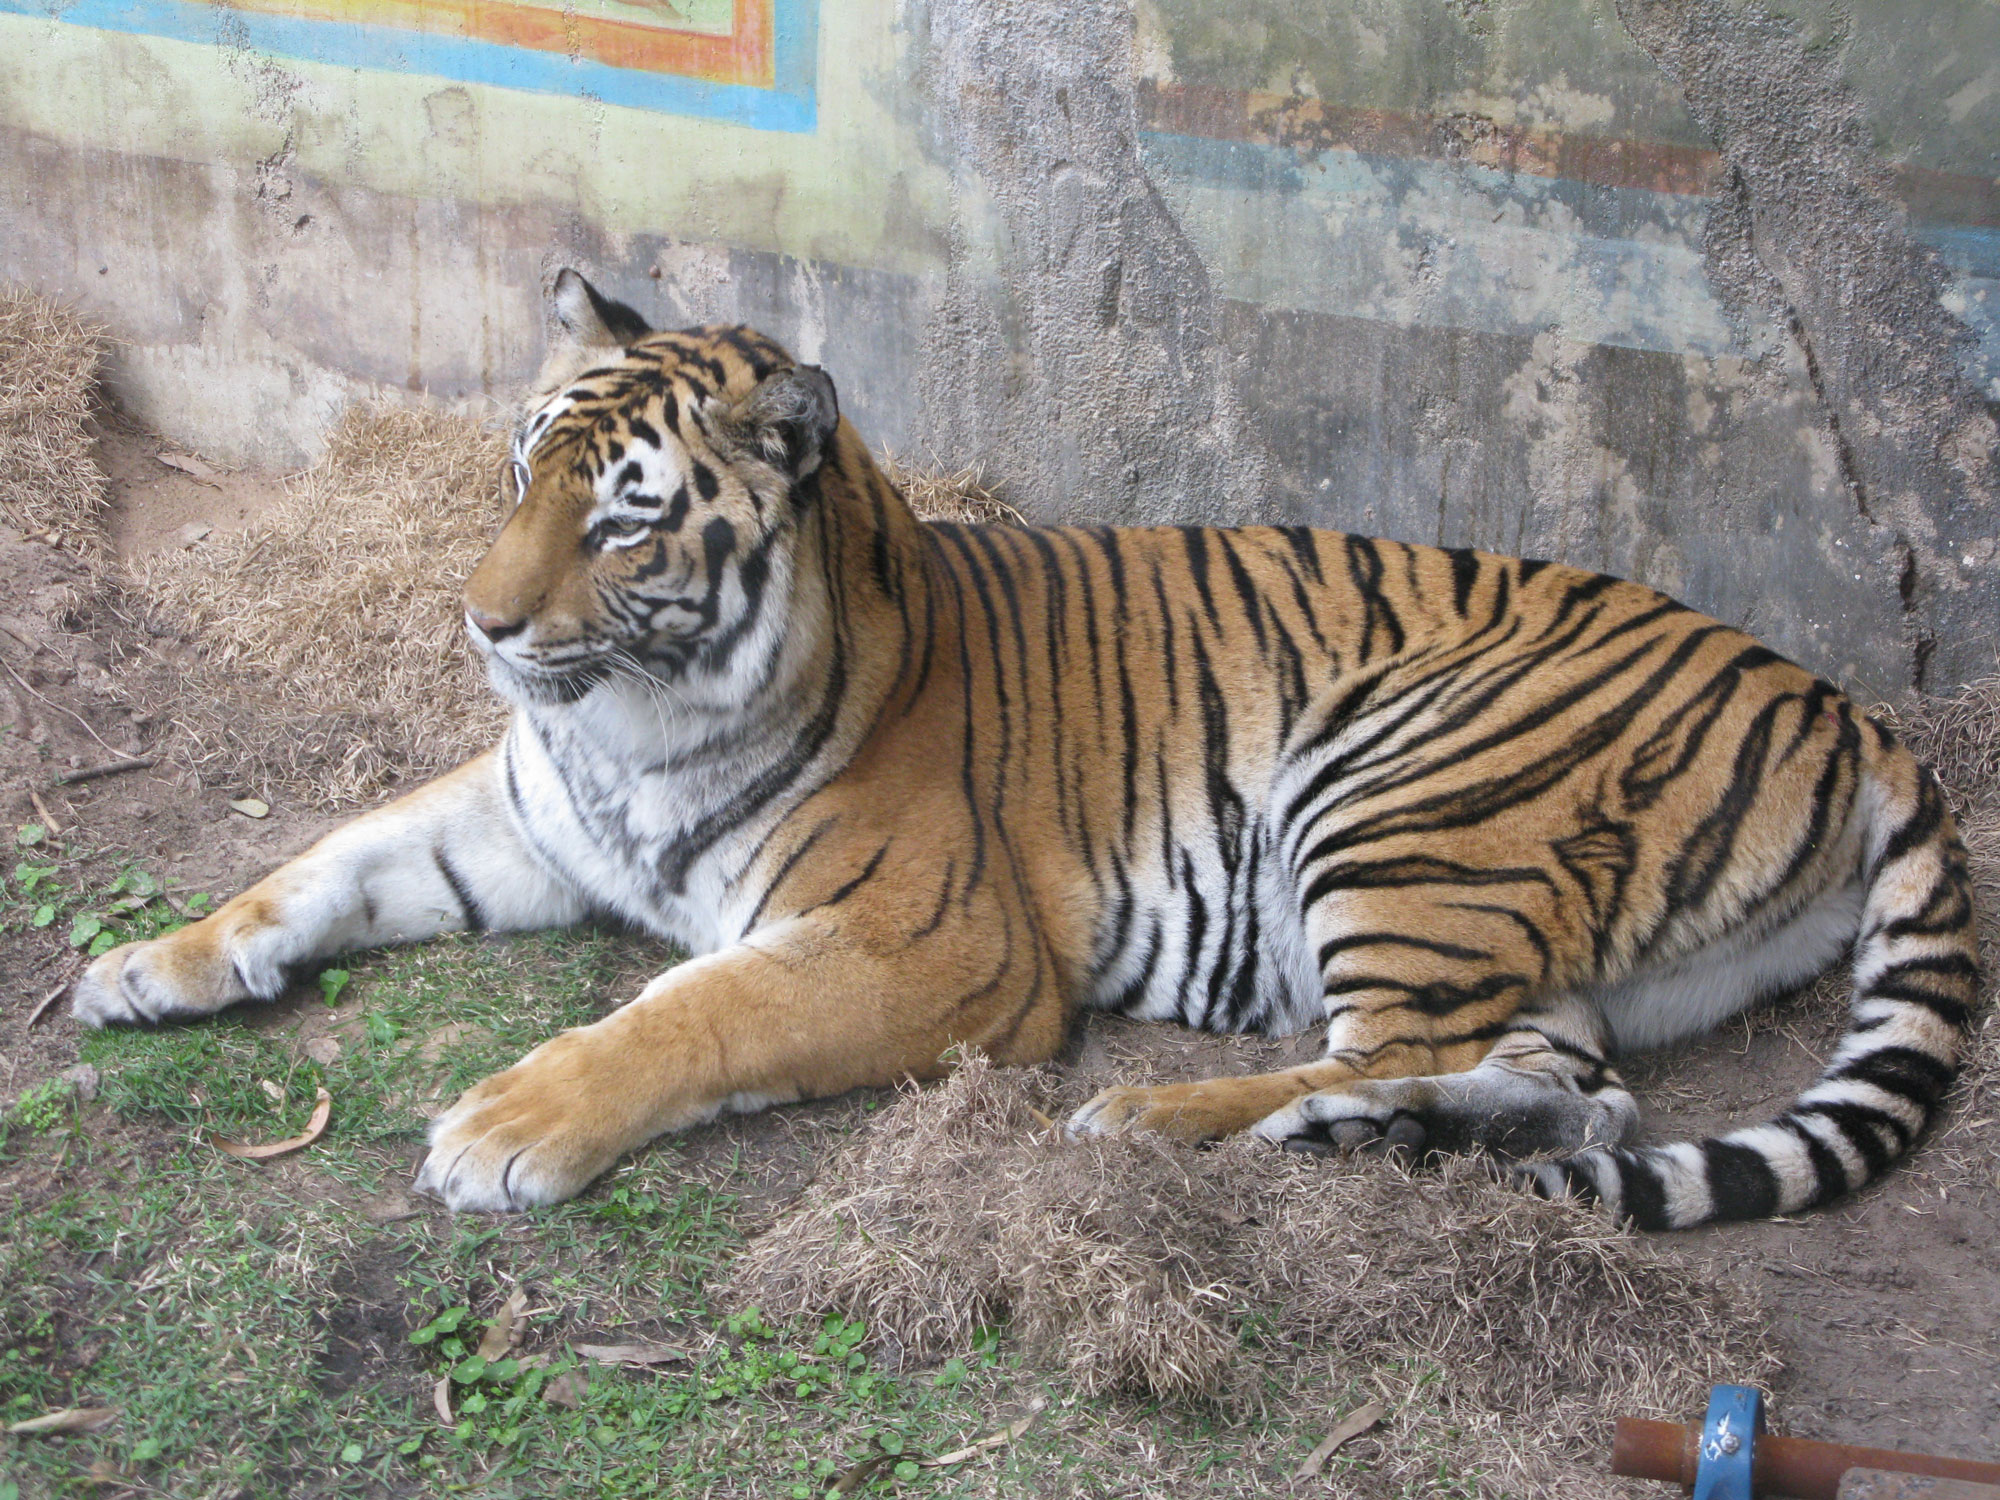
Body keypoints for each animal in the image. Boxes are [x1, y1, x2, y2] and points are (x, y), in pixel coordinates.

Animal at [70, 270, 1976, 1232]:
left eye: (623, 522)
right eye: (520, 470)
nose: (479, 625)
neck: (630, 721)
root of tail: (1851, 706)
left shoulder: (939, 941)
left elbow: (696, 1009)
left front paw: (510, 1123)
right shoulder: (534, 816)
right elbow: (321, 862)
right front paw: (145, 966)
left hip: (1404, 788)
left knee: (1401, 1051)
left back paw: (1143, 1115)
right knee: (1554, 1081)